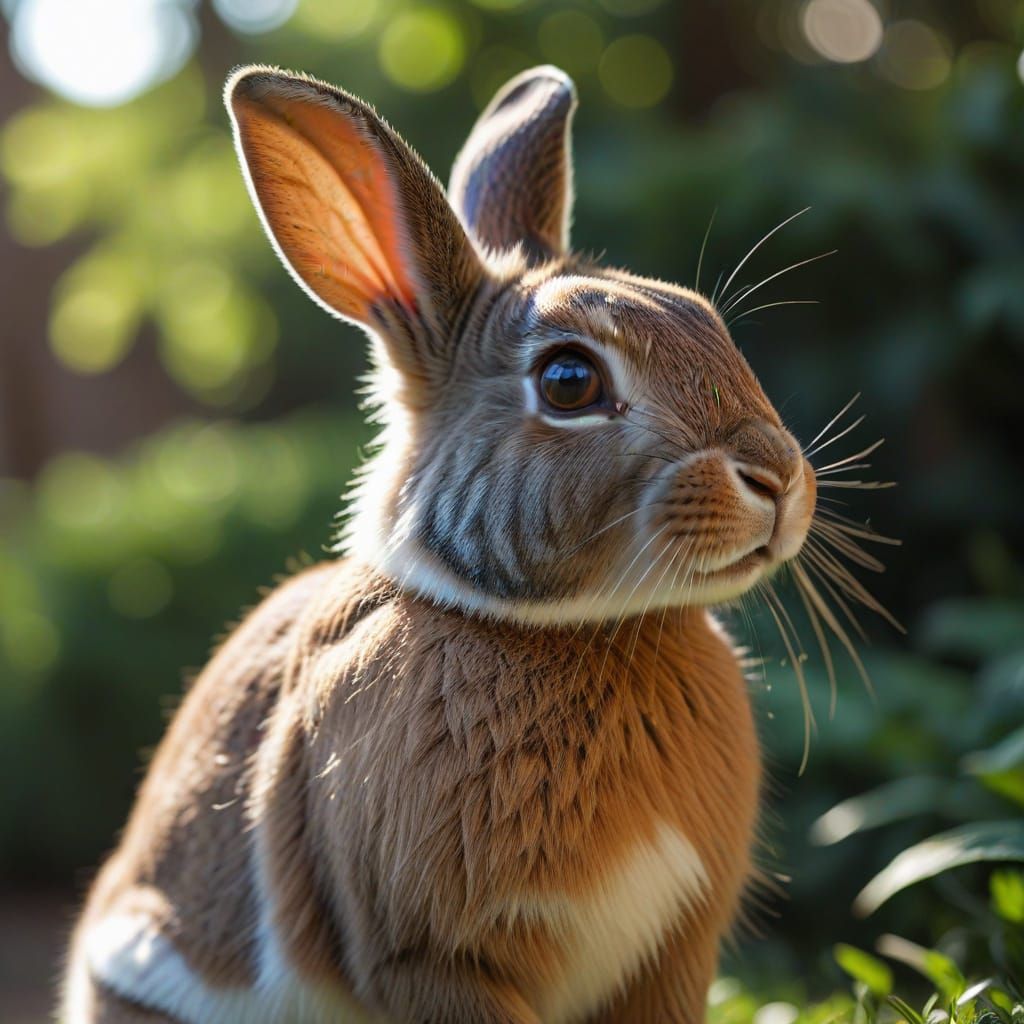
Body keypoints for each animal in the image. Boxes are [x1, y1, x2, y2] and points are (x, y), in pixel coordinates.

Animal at [61, 63, 819, 1024]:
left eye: (706, 321)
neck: (554, 629)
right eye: (568, 381)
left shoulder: (672, 956)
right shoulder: (433, 959)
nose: (778, 478)